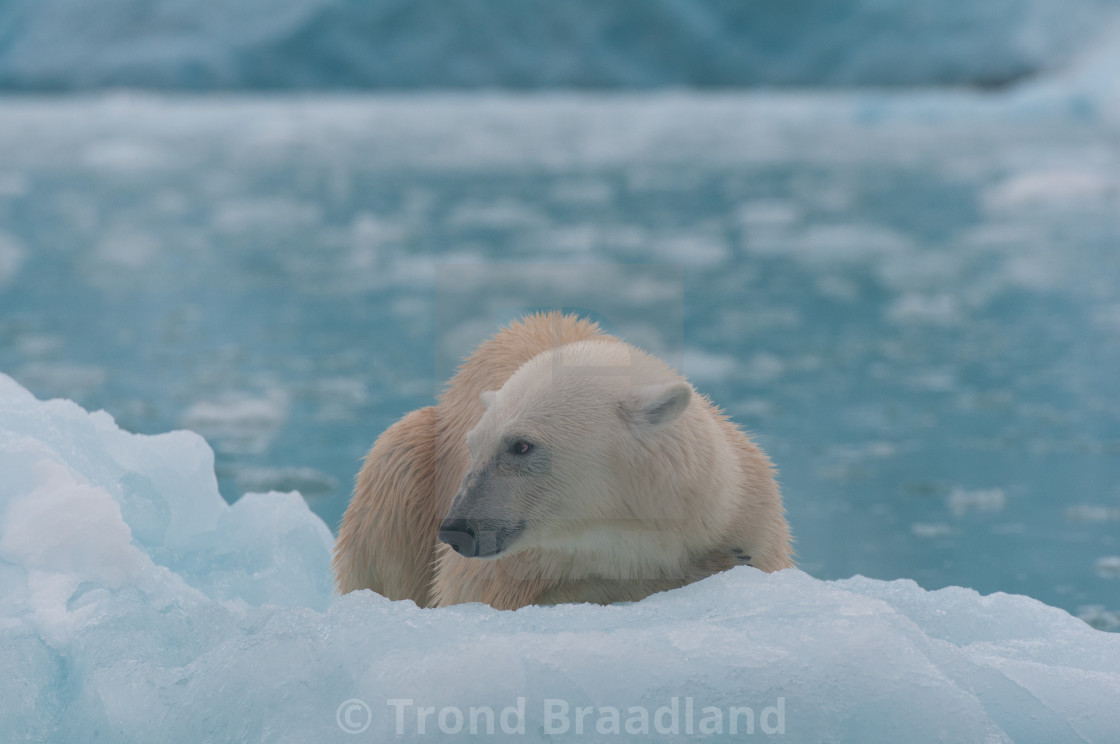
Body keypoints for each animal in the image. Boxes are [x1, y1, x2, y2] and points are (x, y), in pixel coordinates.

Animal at [327, 311, 792, 609]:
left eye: (521, 445)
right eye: (474, 445)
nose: (458, 530)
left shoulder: (747, 508)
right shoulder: (515, 562)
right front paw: (707, 567)